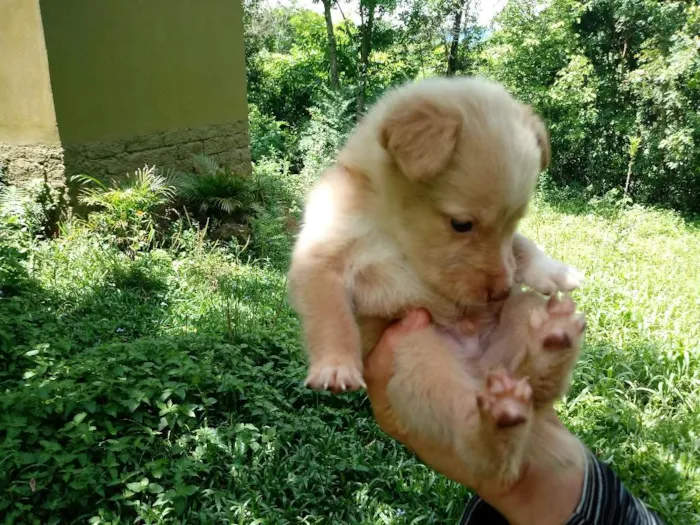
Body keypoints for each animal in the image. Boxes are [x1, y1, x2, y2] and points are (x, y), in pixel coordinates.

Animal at [288, 77, 584, 484]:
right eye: (461, 224)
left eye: (515, 220)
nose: (500, 291)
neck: (390, 226)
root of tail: (482, 371)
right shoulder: (322, 258)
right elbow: (332, 318)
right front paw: (335, 367)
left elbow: (521, 247)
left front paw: (554, 270)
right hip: (419, 358)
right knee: (482, 451)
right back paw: (501, 419)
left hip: (520, 313)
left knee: (534, 393)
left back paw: (550, 343)